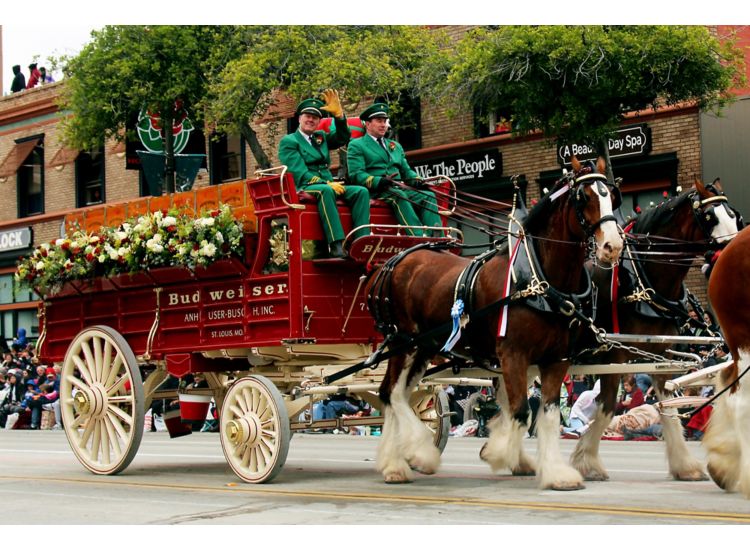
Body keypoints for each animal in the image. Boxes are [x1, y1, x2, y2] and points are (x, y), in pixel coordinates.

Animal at [368, 157, 624, 490]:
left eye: (612, 196)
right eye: (584, 197)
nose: (612, 246)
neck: (537, 279)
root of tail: (395, 260)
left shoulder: (557, 359)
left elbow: (547, 415)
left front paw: (555, 472)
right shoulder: (513, 354)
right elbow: (520, 412)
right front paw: (499, 452)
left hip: (424, 347)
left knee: (392, 394)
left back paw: (393, 461)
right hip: (402, 342)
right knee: (393, 394)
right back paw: (416, 454)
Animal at [572, 180, 744, 484]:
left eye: (734, 216)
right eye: (709, 217)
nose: (731, 256)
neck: (642, 280)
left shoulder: (662, 356)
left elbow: (668, 407)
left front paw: (686, 466)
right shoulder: (613, 357)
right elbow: (606, 407)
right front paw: (586, 462)